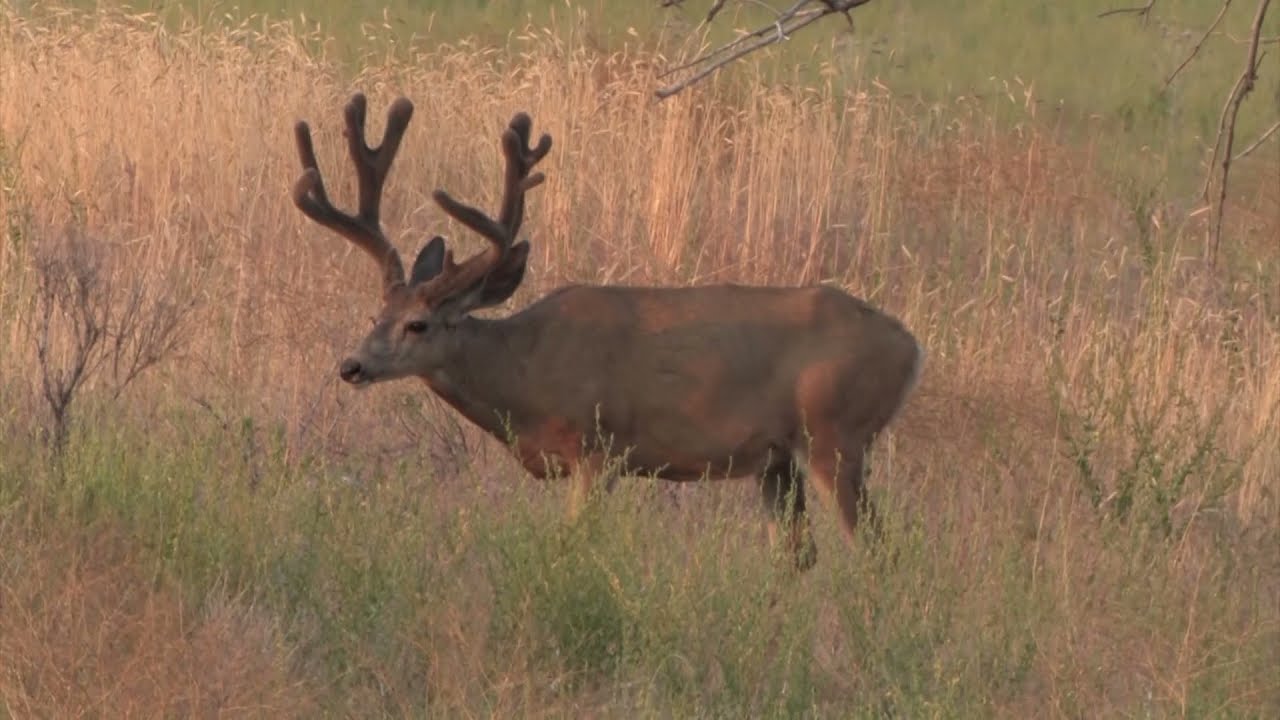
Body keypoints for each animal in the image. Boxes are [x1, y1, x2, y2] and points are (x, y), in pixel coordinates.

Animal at [291, 93, 924, 569]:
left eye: (418, 324)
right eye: (376, 315)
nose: (352, 366)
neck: (524, 373)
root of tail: (911, 348)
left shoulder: (598, 445)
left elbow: (572, 544)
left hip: (835, 433)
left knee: (878, 549)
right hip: (777, 459)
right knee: (799, 555)